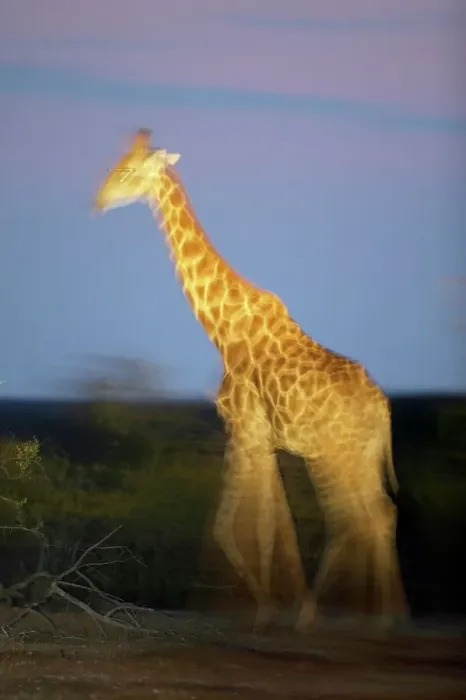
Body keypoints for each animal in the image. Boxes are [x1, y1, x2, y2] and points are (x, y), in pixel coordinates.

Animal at [93, 128, 408, 631]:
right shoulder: (261, 438)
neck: (223, 331)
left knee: (357, 517)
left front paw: (266, 607)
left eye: (127, 170)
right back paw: (385, 614)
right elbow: (274, 523)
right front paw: (274, 602)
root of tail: (384, 409)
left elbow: (237, 525)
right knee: (381, 513)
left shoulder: (242, 429)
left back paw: (328, 613)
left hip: (334, 455)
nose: (99, 201)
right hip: (357, 456)